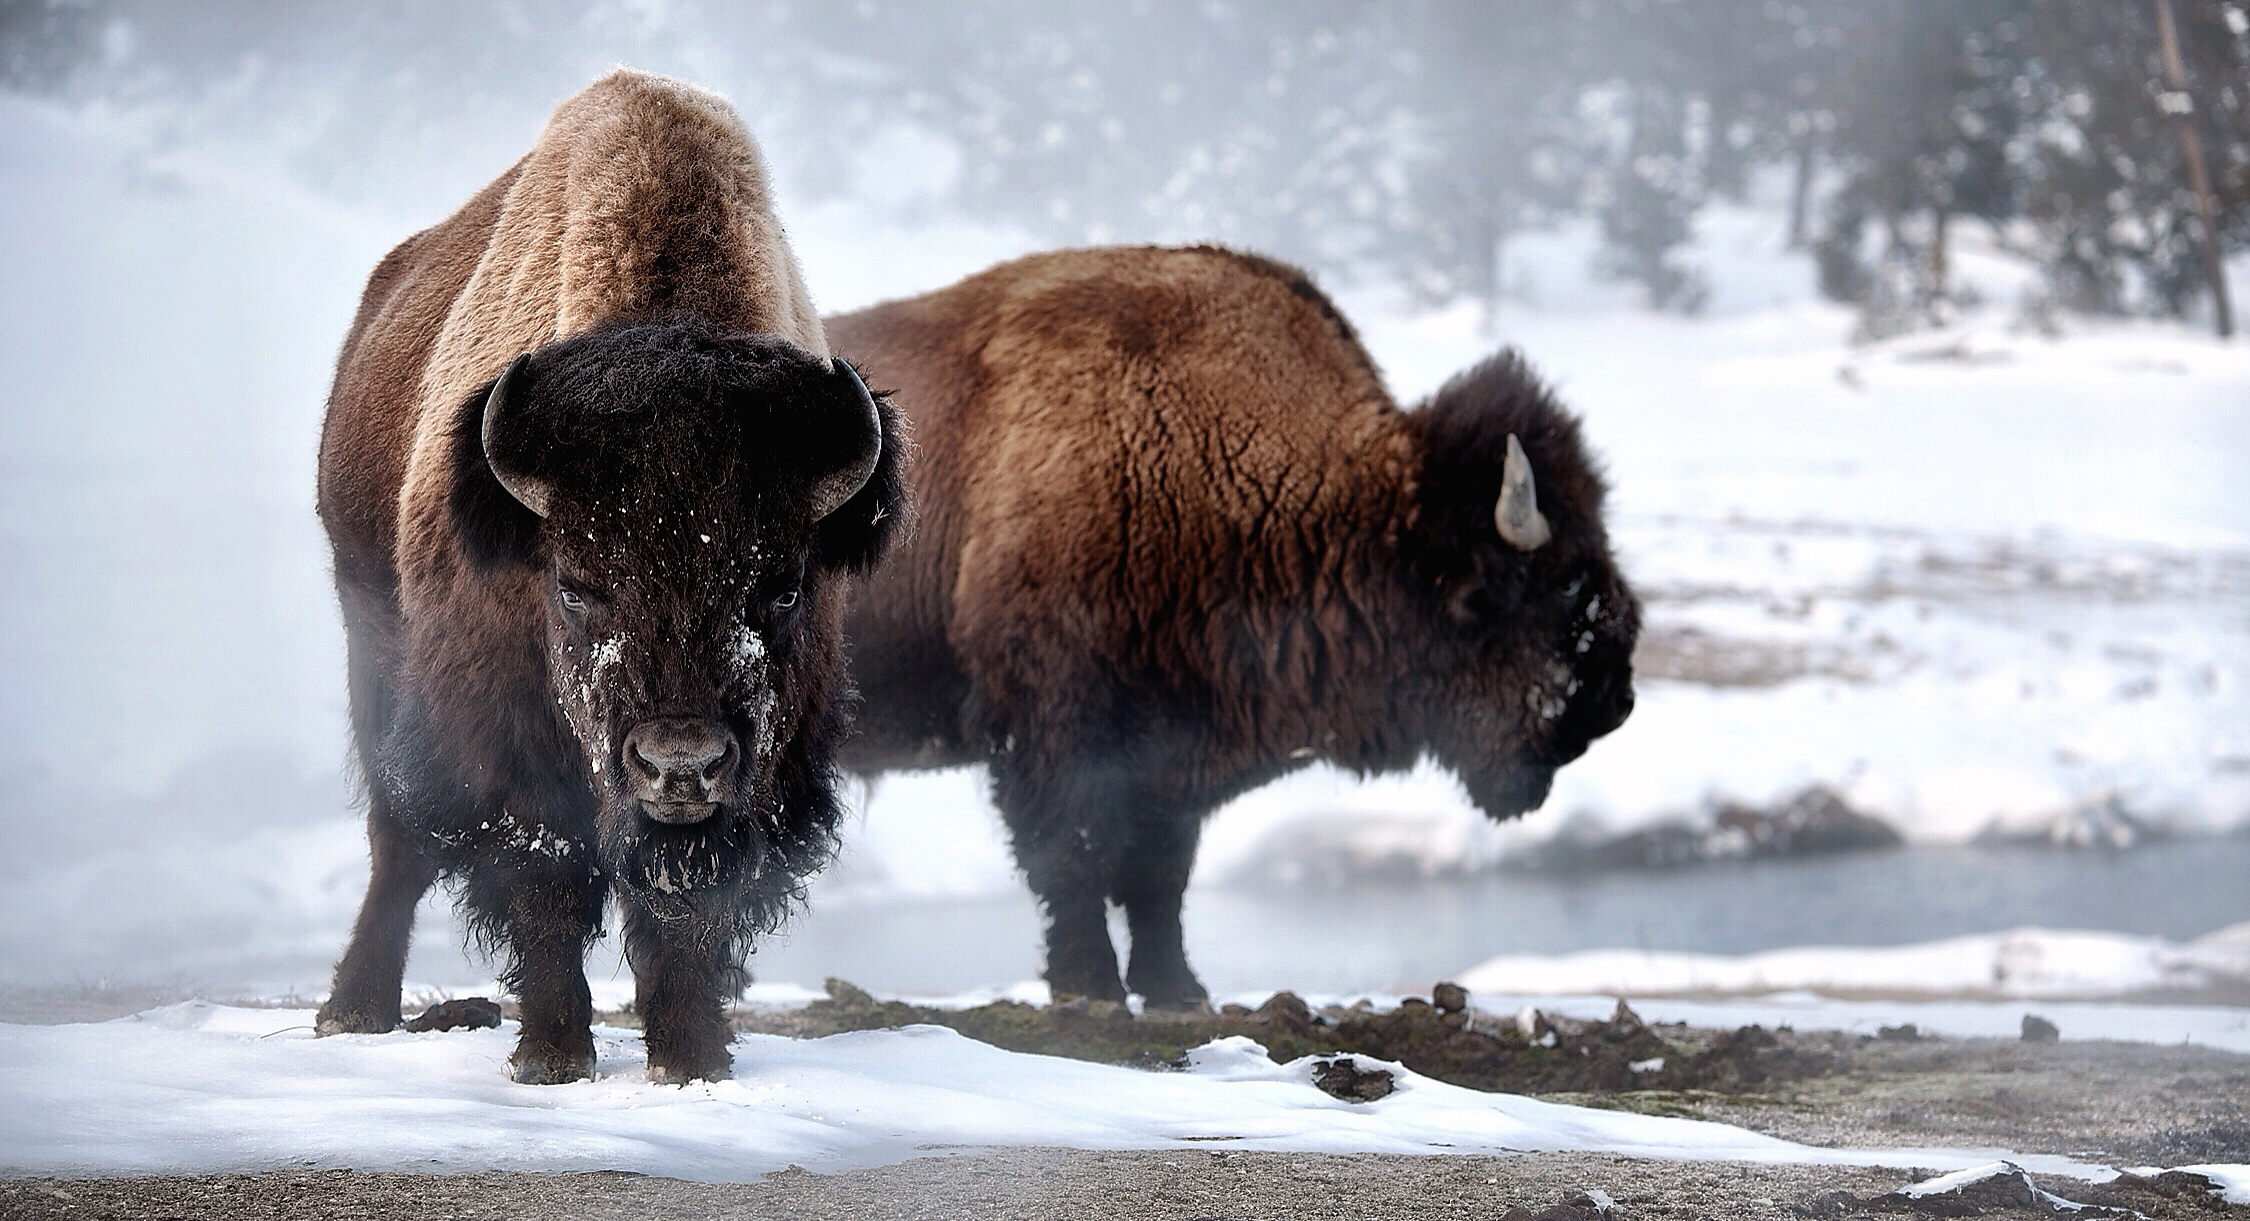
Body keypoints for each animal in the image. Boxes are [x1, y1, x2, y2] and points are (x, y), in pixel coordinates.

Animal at [310, 69, 904, 1088]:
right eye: (578, 584)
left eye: (783, 586)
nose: (680, 764)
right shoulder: (513, 756)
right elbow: (545, 891)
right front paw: (552, 1059)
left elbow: (689, 917)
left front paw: (693, 1062)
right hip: (372, 655)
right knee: (397, 841)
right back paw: (355, 1009)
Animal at [828, 246, 1638, 1011]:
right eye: (1562, 580)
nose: (1616, 700)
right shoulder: (1052, 732)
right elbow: (1074, 860)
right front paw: (1090, 986)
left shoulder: (1172, 753)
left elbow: (1160, 877)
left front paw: (1178, 989)